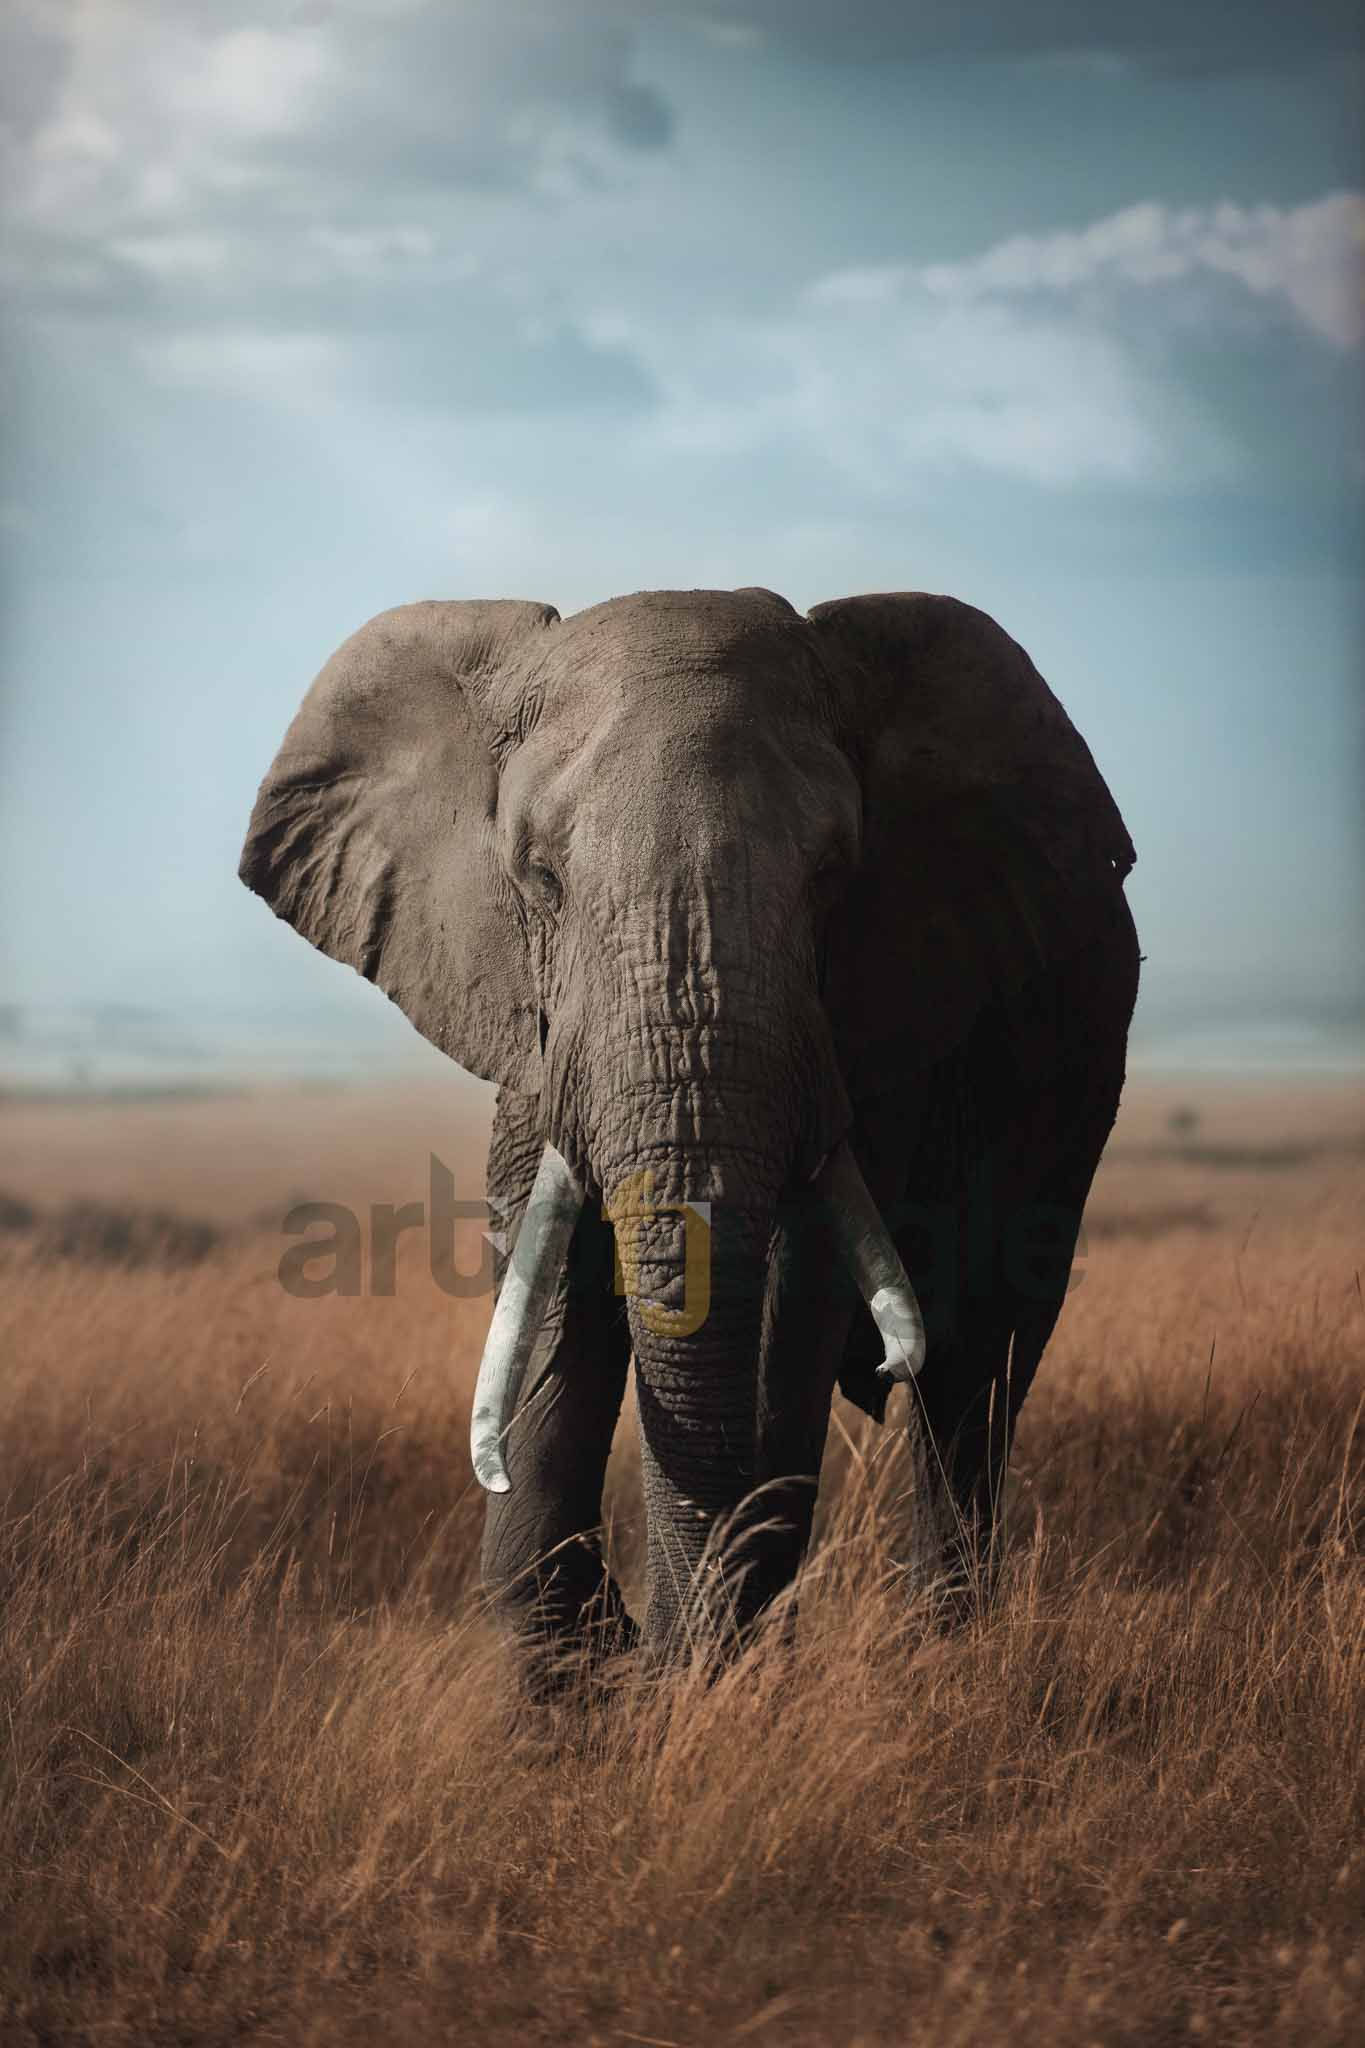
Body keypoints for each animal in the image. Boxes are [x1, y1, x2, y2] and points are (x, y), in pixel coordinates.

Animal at [240, 585, 1138, 1669]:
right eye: (539, 877)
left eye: (832, 876)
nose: (645, 1641)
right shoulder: (539, 1040)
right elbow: (552, 1292)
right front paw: (597, 1668)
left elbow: (789, 1302)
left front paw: (699, 1671)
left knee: (973, 1382)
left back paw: (942, 1648)